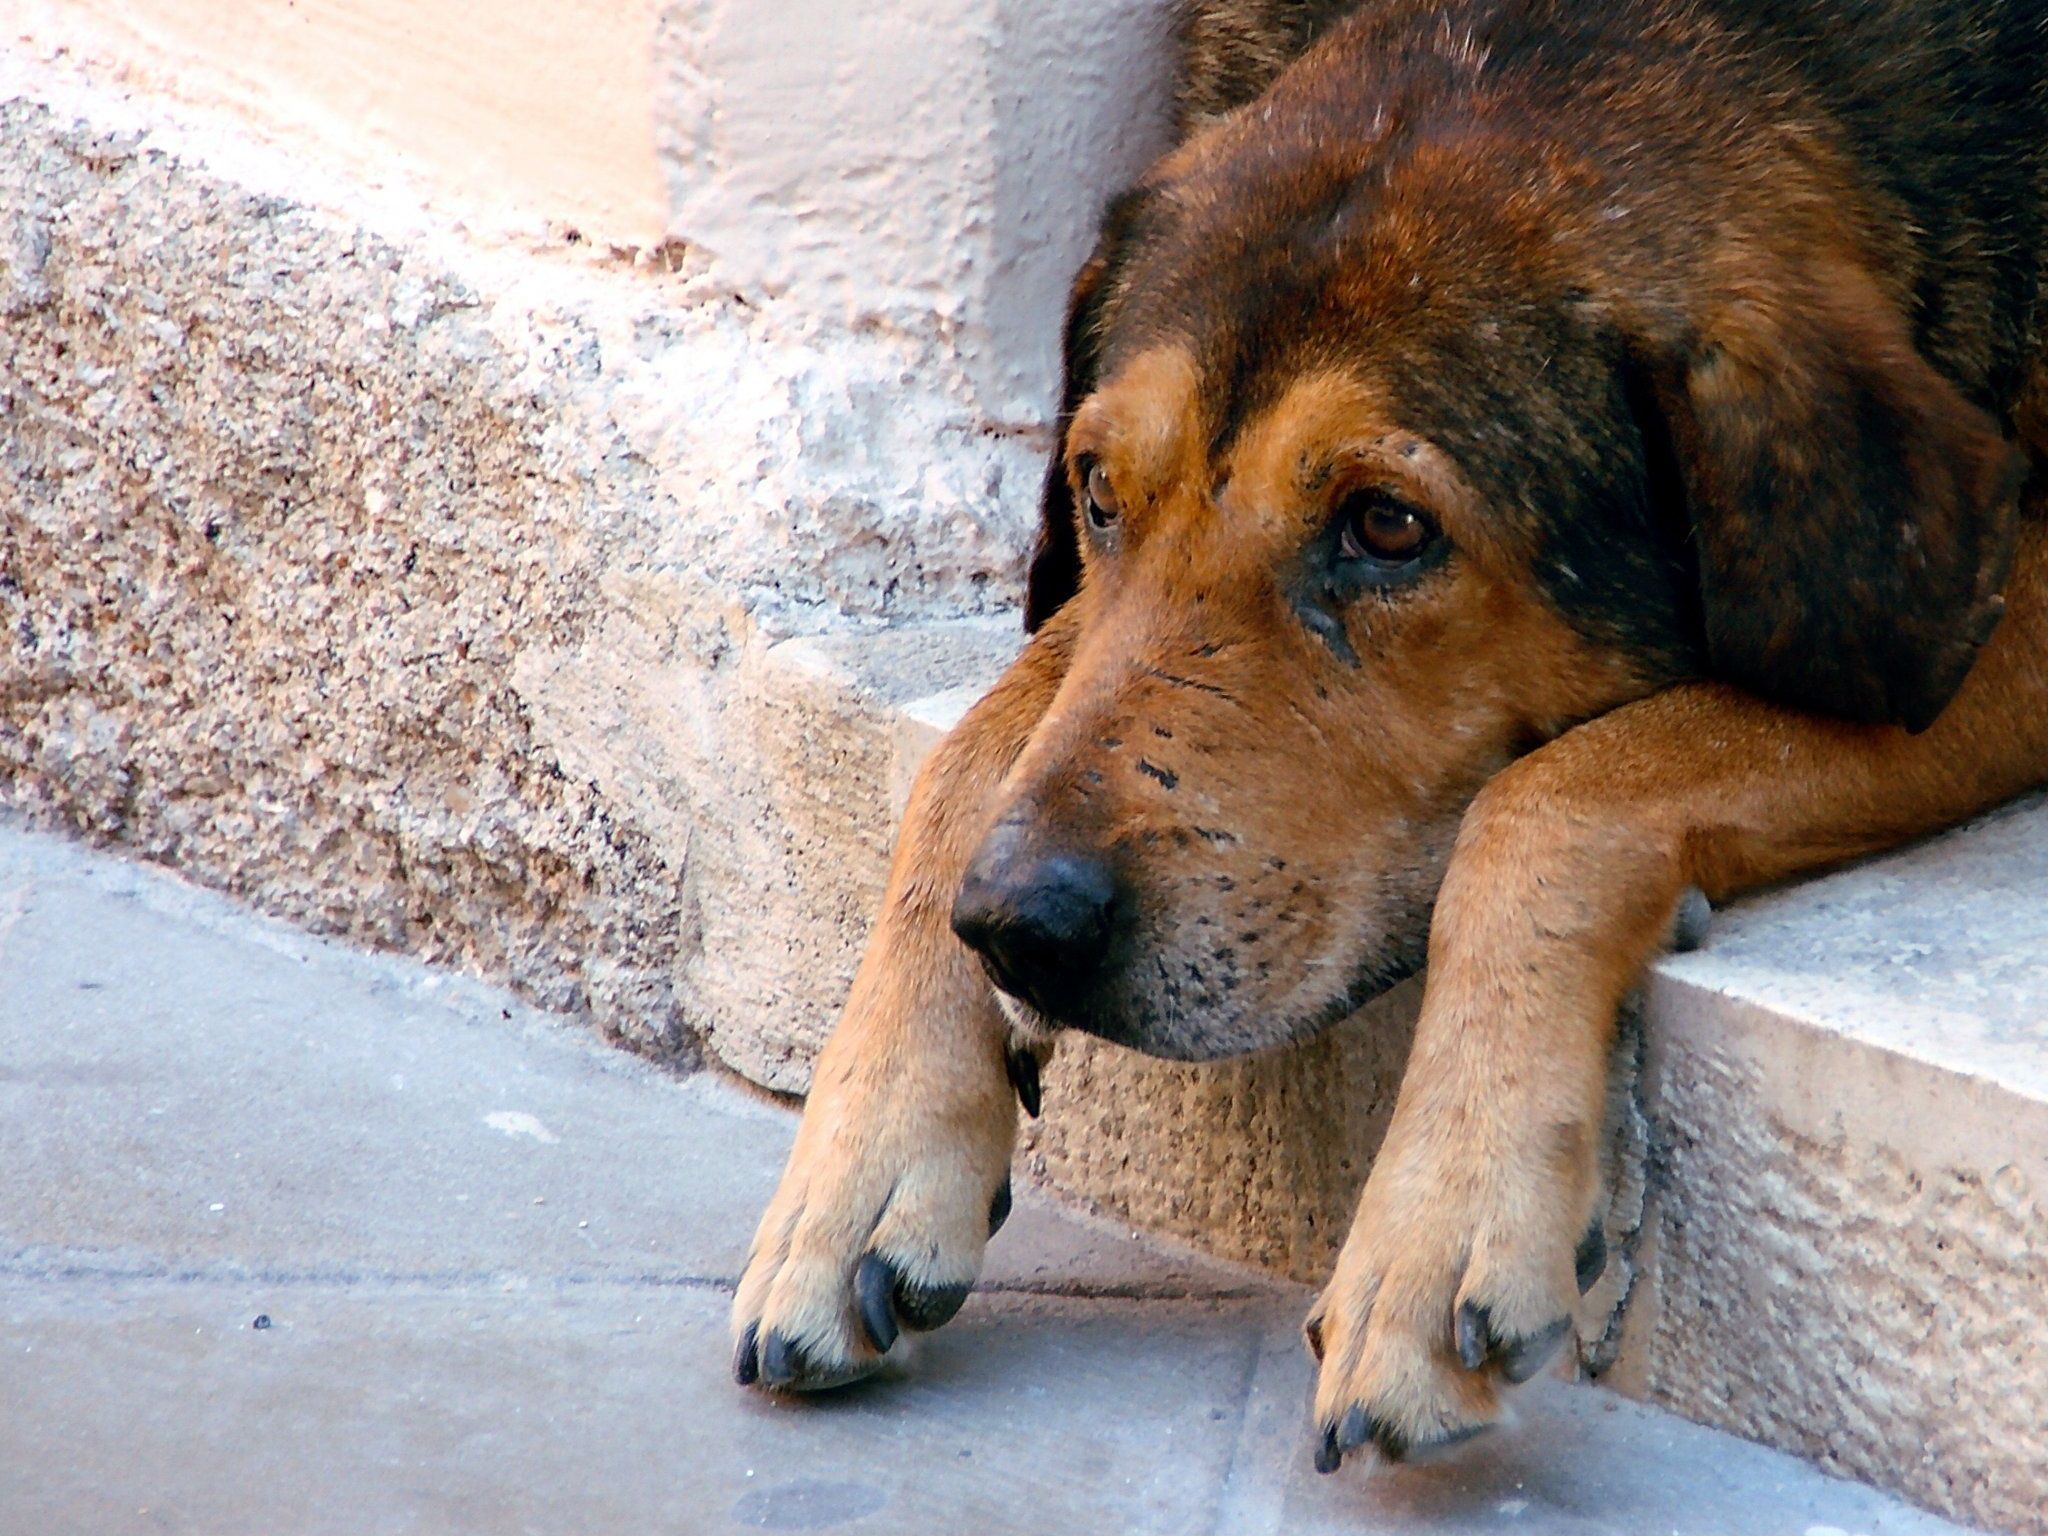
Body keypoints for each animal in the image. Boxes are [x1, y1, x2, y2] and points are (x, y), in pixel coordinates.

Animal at [733, 0, 2048, 1474]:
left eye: (1387, 527)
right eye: (1097, 492)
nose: (1021, 928)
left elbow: (1546, 797)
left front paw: (1442, 1219)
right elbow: (970, 749)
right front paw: (859, 1161)